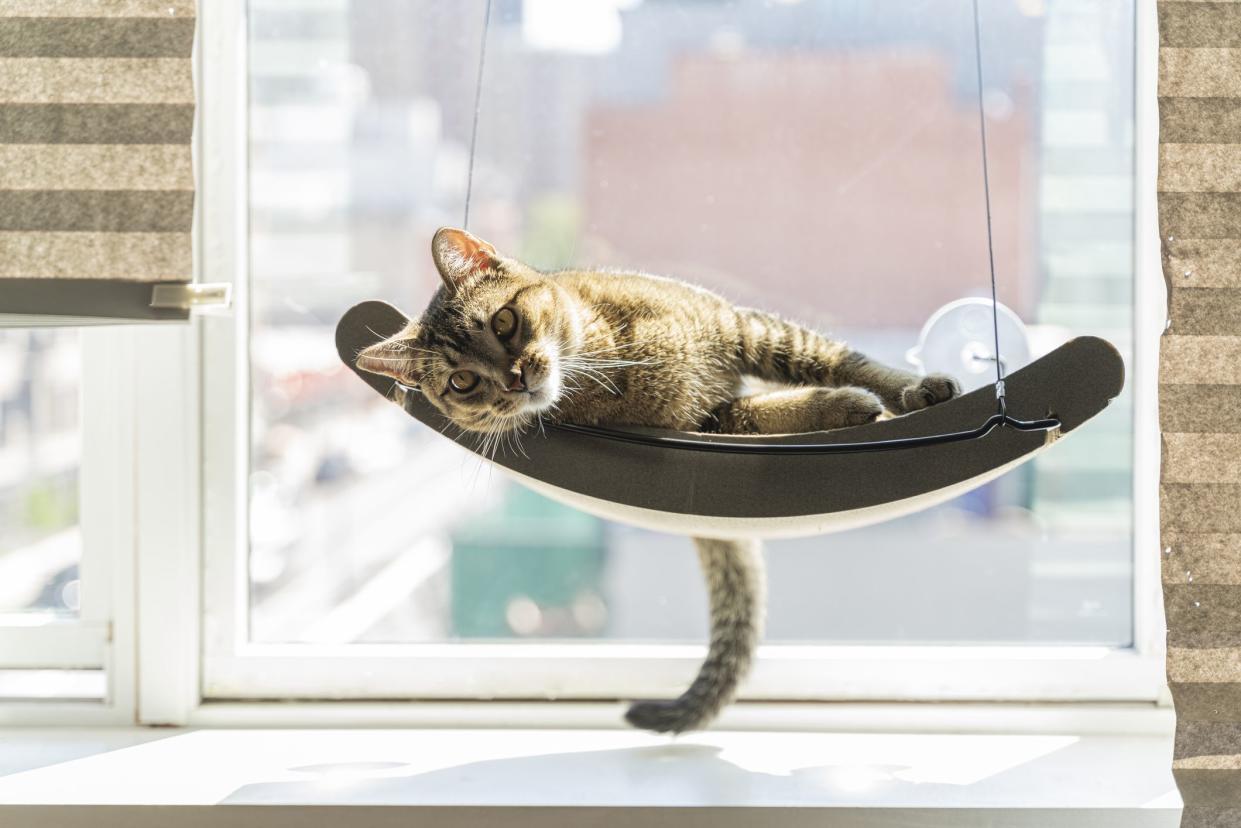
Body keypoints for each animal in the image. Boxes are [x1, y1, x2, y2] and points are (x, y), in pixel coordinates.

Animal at [357, 229, 958, 734]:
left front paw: (912, 389)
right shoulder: (707, 422)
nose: (515, 378)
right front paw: (840, 407)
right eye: (463, 382)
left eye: (504, 322)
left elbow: (846, 360)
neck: (607, 351)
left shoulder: (748, 328)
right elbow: (772, 410)